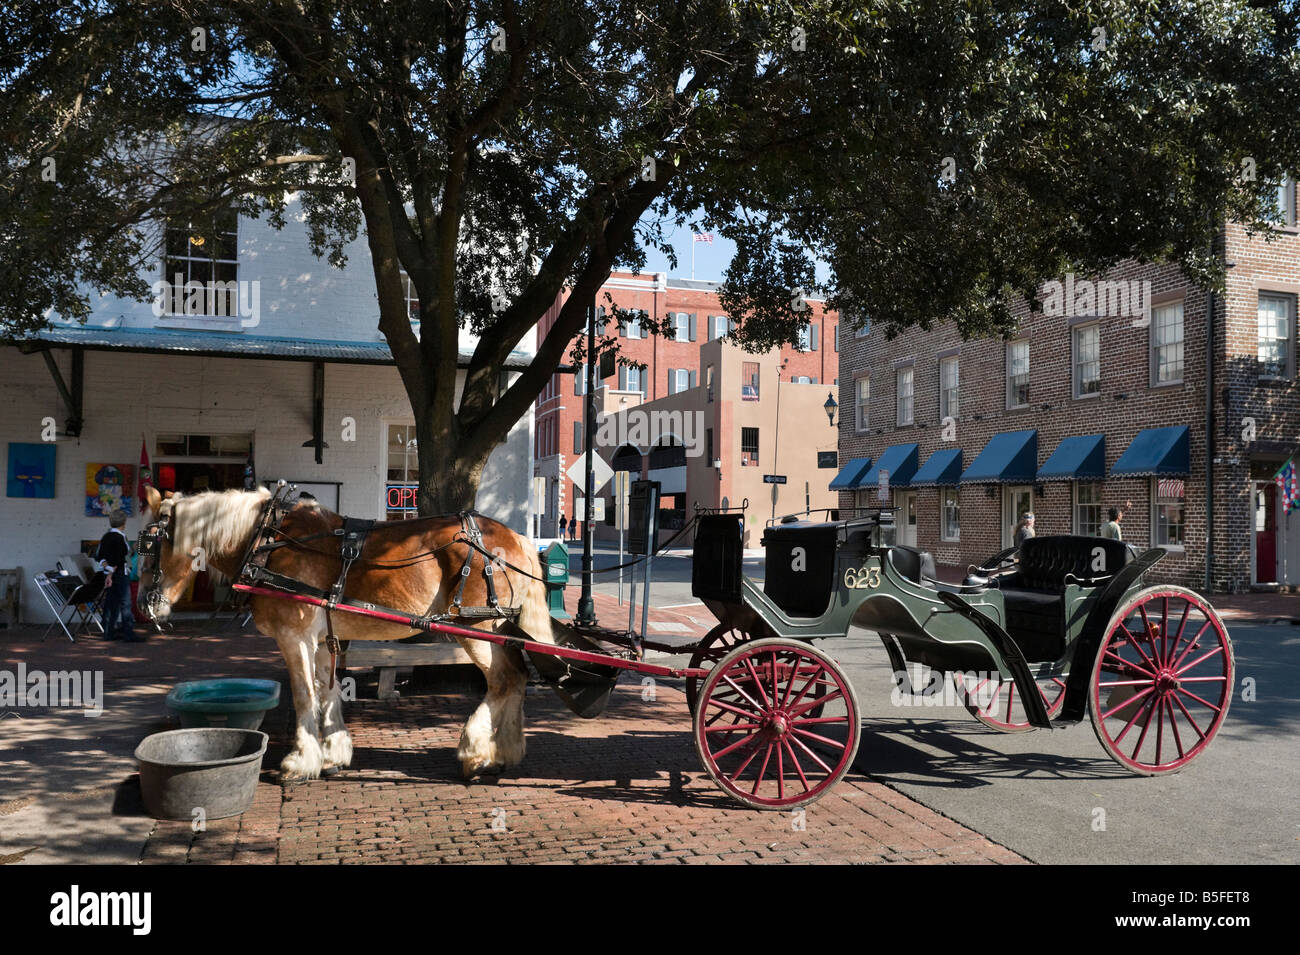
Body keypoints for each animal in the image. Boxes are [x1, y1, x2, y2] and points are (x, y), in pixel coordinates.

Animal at [139, 485, 556, 784]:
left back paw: (475, 754)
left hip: (477, 628)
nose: (145, 602)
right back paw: (506, 751)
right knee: (518, 677)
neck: (266, 541)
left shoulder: (294, 635)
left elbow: (304, 695)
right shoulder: (324, 637)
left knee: (503, 679)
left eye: (148, 543)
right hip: (499, 628)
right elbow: (326, 692)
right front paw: (332, 755)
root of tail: (517, 538)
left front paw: (299, 762)